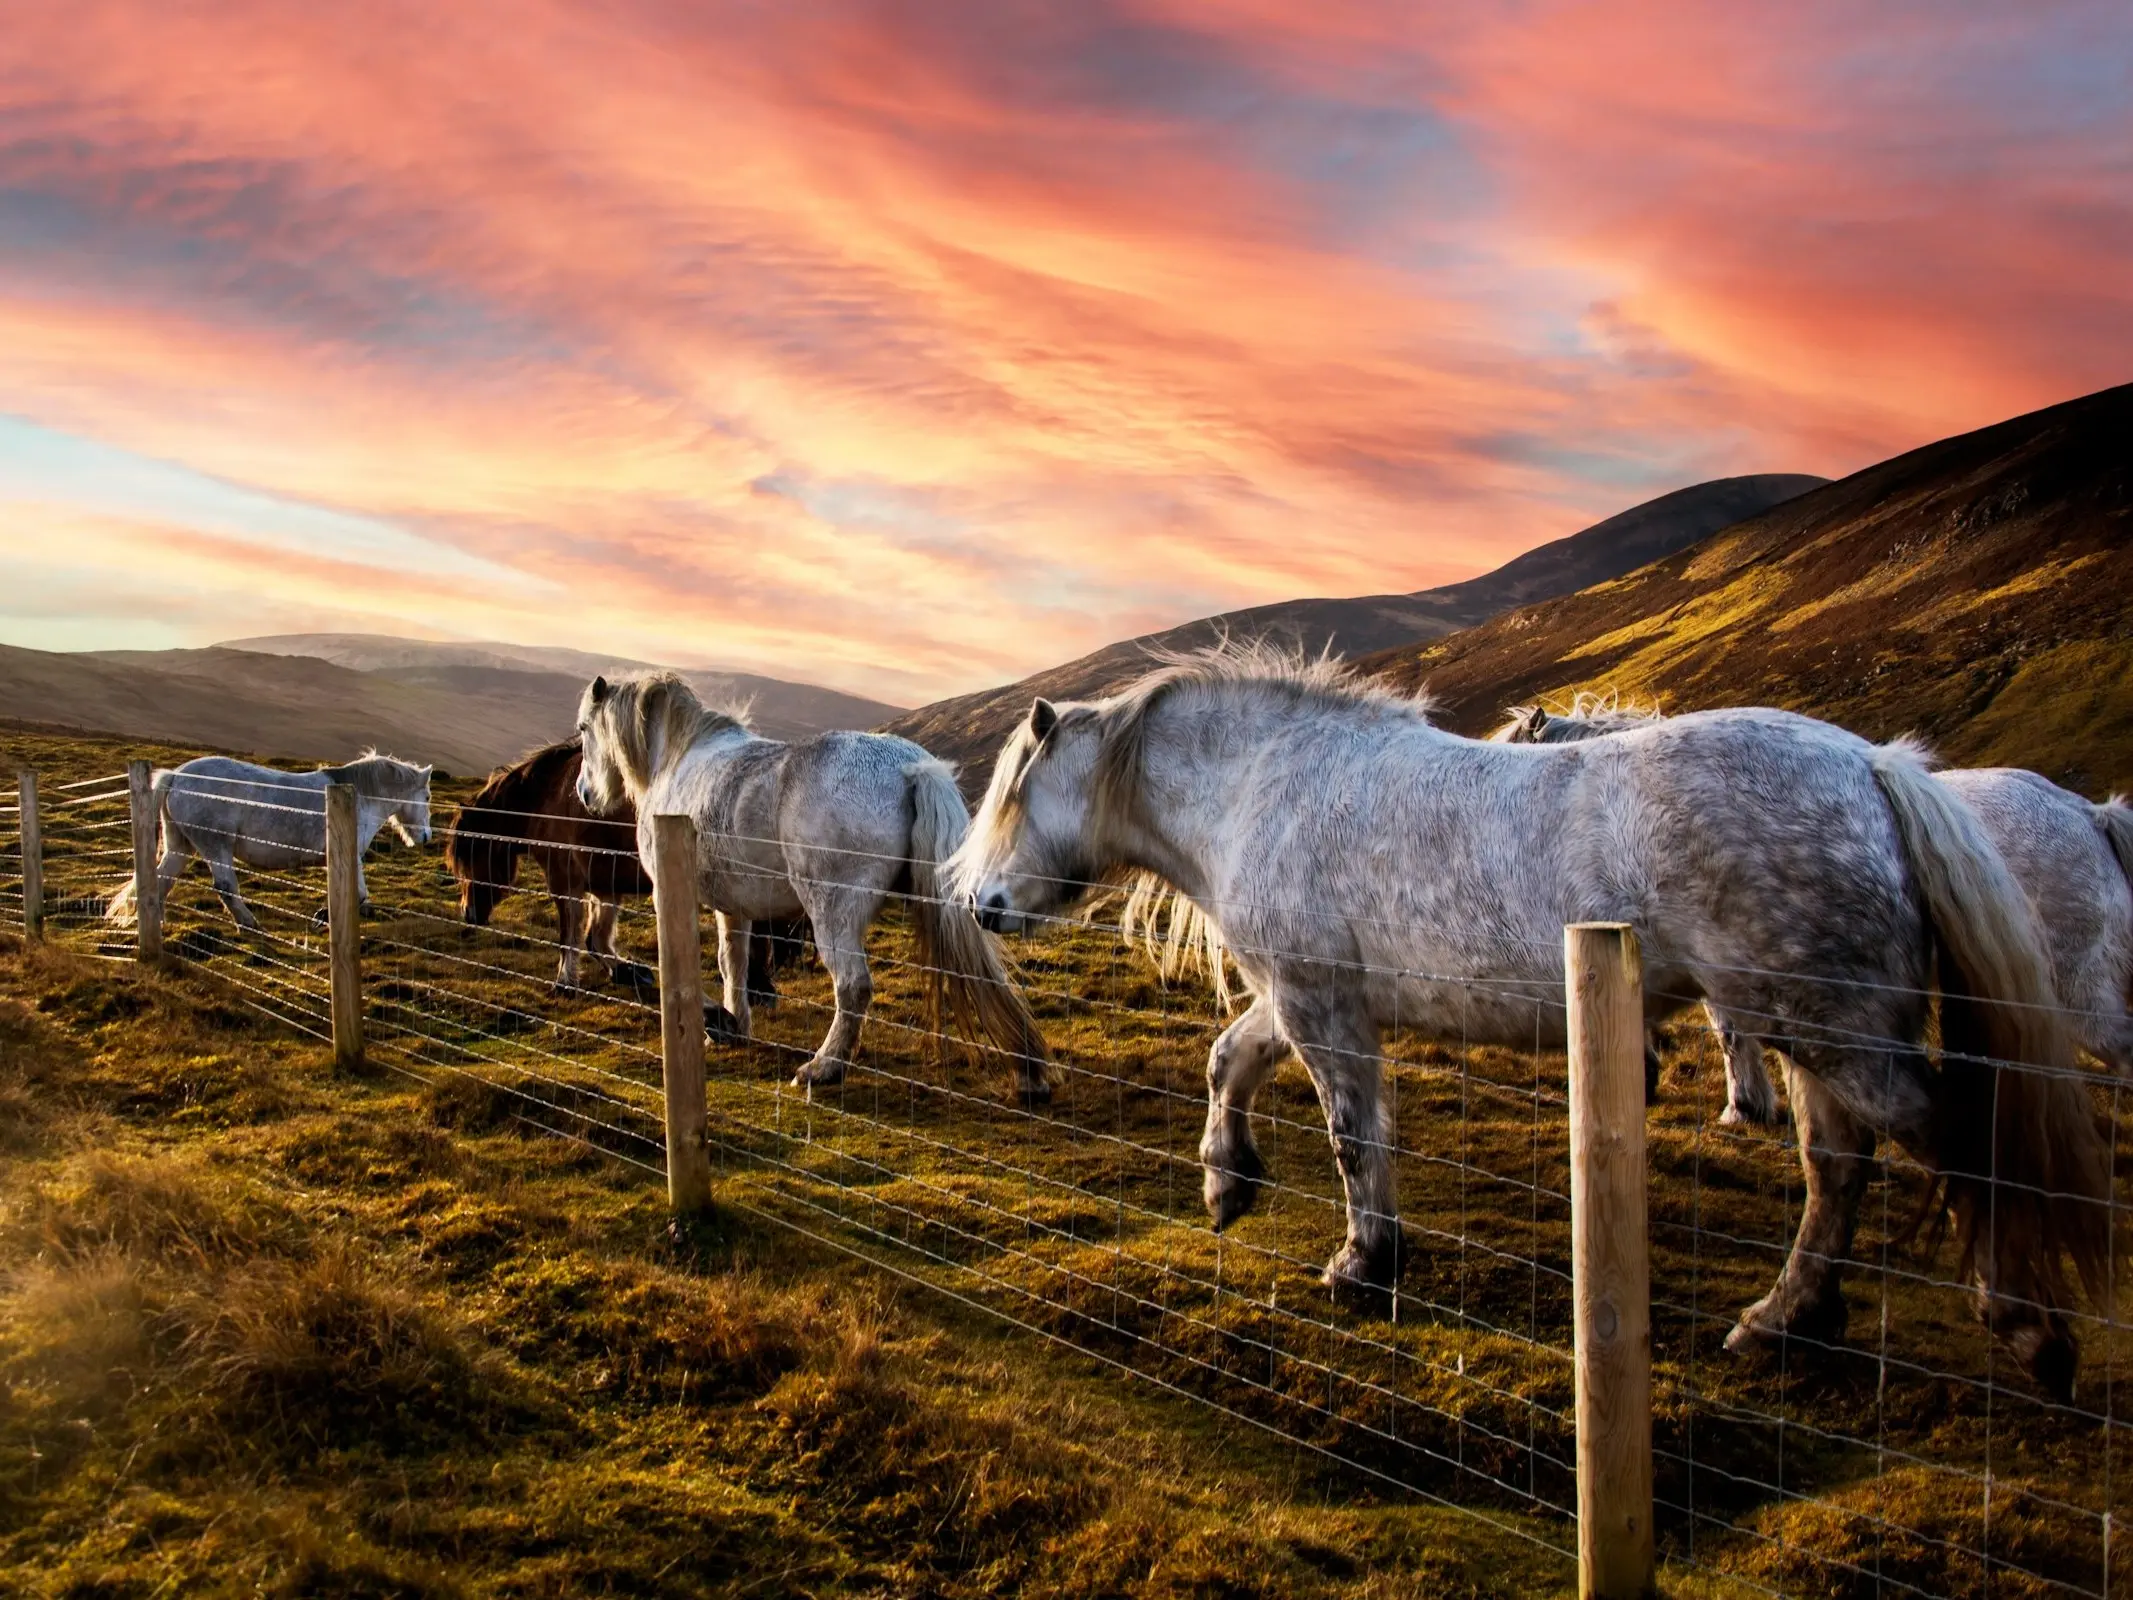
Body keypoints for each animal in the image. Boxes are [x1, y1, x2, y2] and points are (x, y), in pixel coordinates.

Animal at [105, 755, 432, 934]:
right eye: (427, 796)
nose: (426, 837)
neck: (360, 797)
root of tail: (175, 776)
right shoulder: (347, 857)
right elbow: (361, 895)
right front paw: (322, 917)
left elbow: (360, 896)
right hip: (215, 845)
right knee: (225, 887)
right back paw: (250, 924)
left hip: (180, 846)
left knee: (161, 881)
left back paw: (157, 924)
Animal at [437, 738, 802, 1006]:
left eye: (469, 857)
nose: (468, 913)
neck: (548, 798)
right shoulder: (604, 886)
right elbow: (596, 939)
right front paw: (629, 972)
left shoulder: (565, 881)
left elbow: (569, 938)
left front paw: (564, 983)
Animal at [580, 665, 1053, 1100]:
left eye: (584, 729)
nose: (585, 794)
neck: (676, 759)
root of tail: (909, 768)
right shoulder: (733, 907)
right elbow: (733, 962)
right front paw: (734, 1023)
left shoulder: (669, 895)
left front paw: (714, 1020)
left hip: (833, 914)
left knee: (853, 987)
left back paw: (823, 1068)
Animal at [955, 644, 2115, 1399]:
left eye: (1013, 797)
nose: (982, 905)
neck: (1264, 788)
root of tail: (1875, 769)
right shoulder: (1304, 995)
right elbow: (1227, 1060)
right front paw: (1226, 1180)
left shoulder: (1323, 1005)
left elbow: (1349, 1135)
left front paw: (1363, 1263)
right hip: (1809, 1037)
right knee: (1837, 1169)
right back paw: (1785, 1319)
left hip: (1839, 1035)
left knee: (1955, 1145)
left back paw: (2028, 1330)